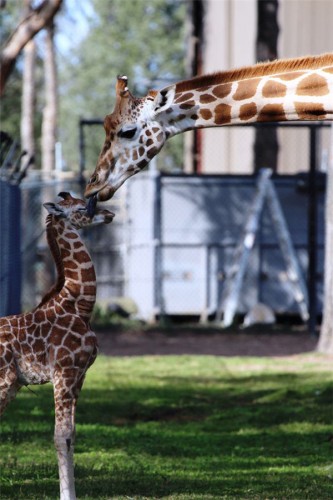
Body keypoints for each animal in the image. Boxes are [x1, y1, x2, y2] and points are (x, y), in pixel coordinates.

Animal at [0, 192, 113, 500]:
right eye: (83, 206)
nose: (110, 214)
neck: (79, 305)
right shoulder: (64, 372)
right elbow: (61, 437)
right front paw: (67, 495)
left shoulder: (80, 375)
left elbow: (71, 435)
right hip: (5, 381)